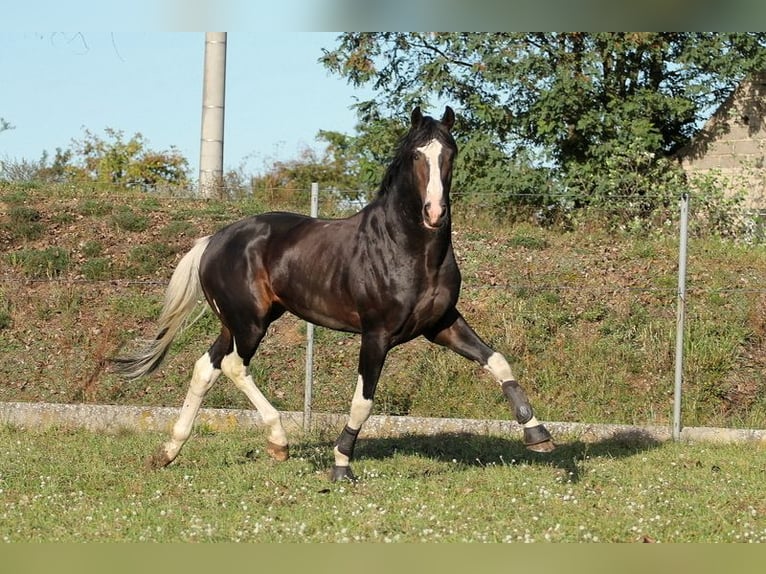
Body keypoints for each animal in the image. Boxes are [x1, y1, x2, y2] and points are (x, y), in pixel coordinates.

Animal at [114, 107, 556, 482]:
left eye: (450, 152)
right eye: (416, 155)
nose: (435, 213)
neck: (407, 250)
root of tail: (213, 241)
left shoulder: (442, 324)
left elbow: (497, 361)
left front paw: (538, 435)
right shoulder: (376, 334)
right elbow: (364, 400)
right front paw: (341, 464)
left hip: (238, 322)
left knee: (207, 367)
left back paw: (169, 451)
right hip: (250, 323)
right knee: (235, 366)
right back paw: (279, 442)